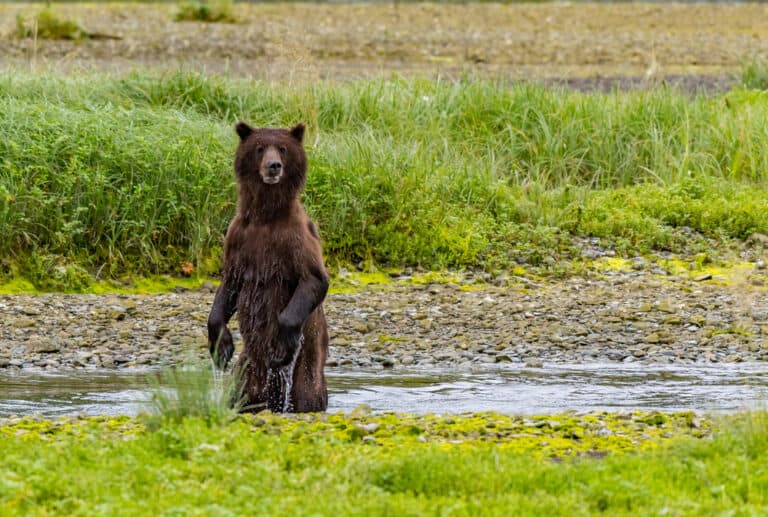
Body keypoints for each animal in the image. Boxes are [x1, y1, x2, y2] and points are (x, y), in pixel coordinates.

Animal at [207, 122, 330, 413]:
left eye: (283, 148)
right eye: (260, 147)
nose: (273, 166)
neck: (265, 214)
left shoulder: (295, 237)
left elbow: (313, 278)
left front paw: (282, 344)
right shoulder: (238, 238)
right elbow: (230, 285)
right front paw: (221, 344)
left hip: (308, 359)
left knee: (307, 390)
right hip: (248, 367)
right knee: (241, 389)